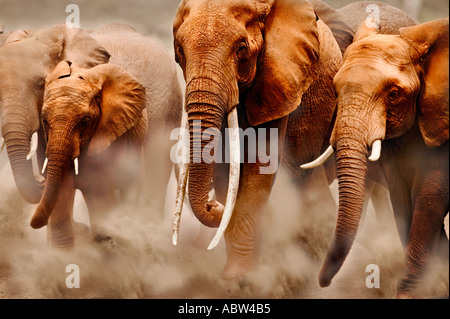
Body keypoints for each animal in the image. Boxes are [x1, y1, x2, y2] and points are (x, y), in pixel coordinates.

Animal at [308, 18, 448, 300]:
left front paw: (409, 295)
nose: (323, 283)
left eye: (393, 94)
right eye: (335, 91)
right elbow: (403, 197)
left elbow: (430, 196)